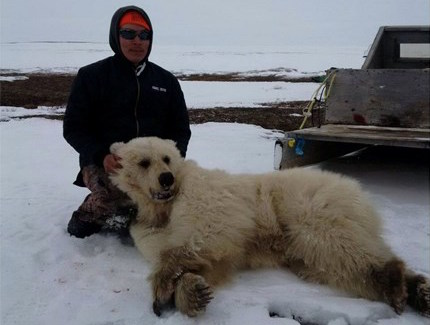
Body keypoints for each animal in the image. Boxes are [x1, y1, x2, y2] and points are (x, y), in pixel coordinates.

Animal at [109, 136, 428, 316]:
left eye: (167, 158)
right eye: (144, 161)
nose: (166, 178)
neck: (164, 208)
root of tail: (357, 191)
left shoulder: (204, 195)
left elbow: (209, 235)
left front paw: (164, 285)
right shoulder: (147, 227)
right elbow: (194, 258)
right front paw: (190, 293)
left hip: (304, 206)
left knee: (334, 244)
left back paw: (395, 280)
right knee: (327, 263)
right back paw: (415, 290)